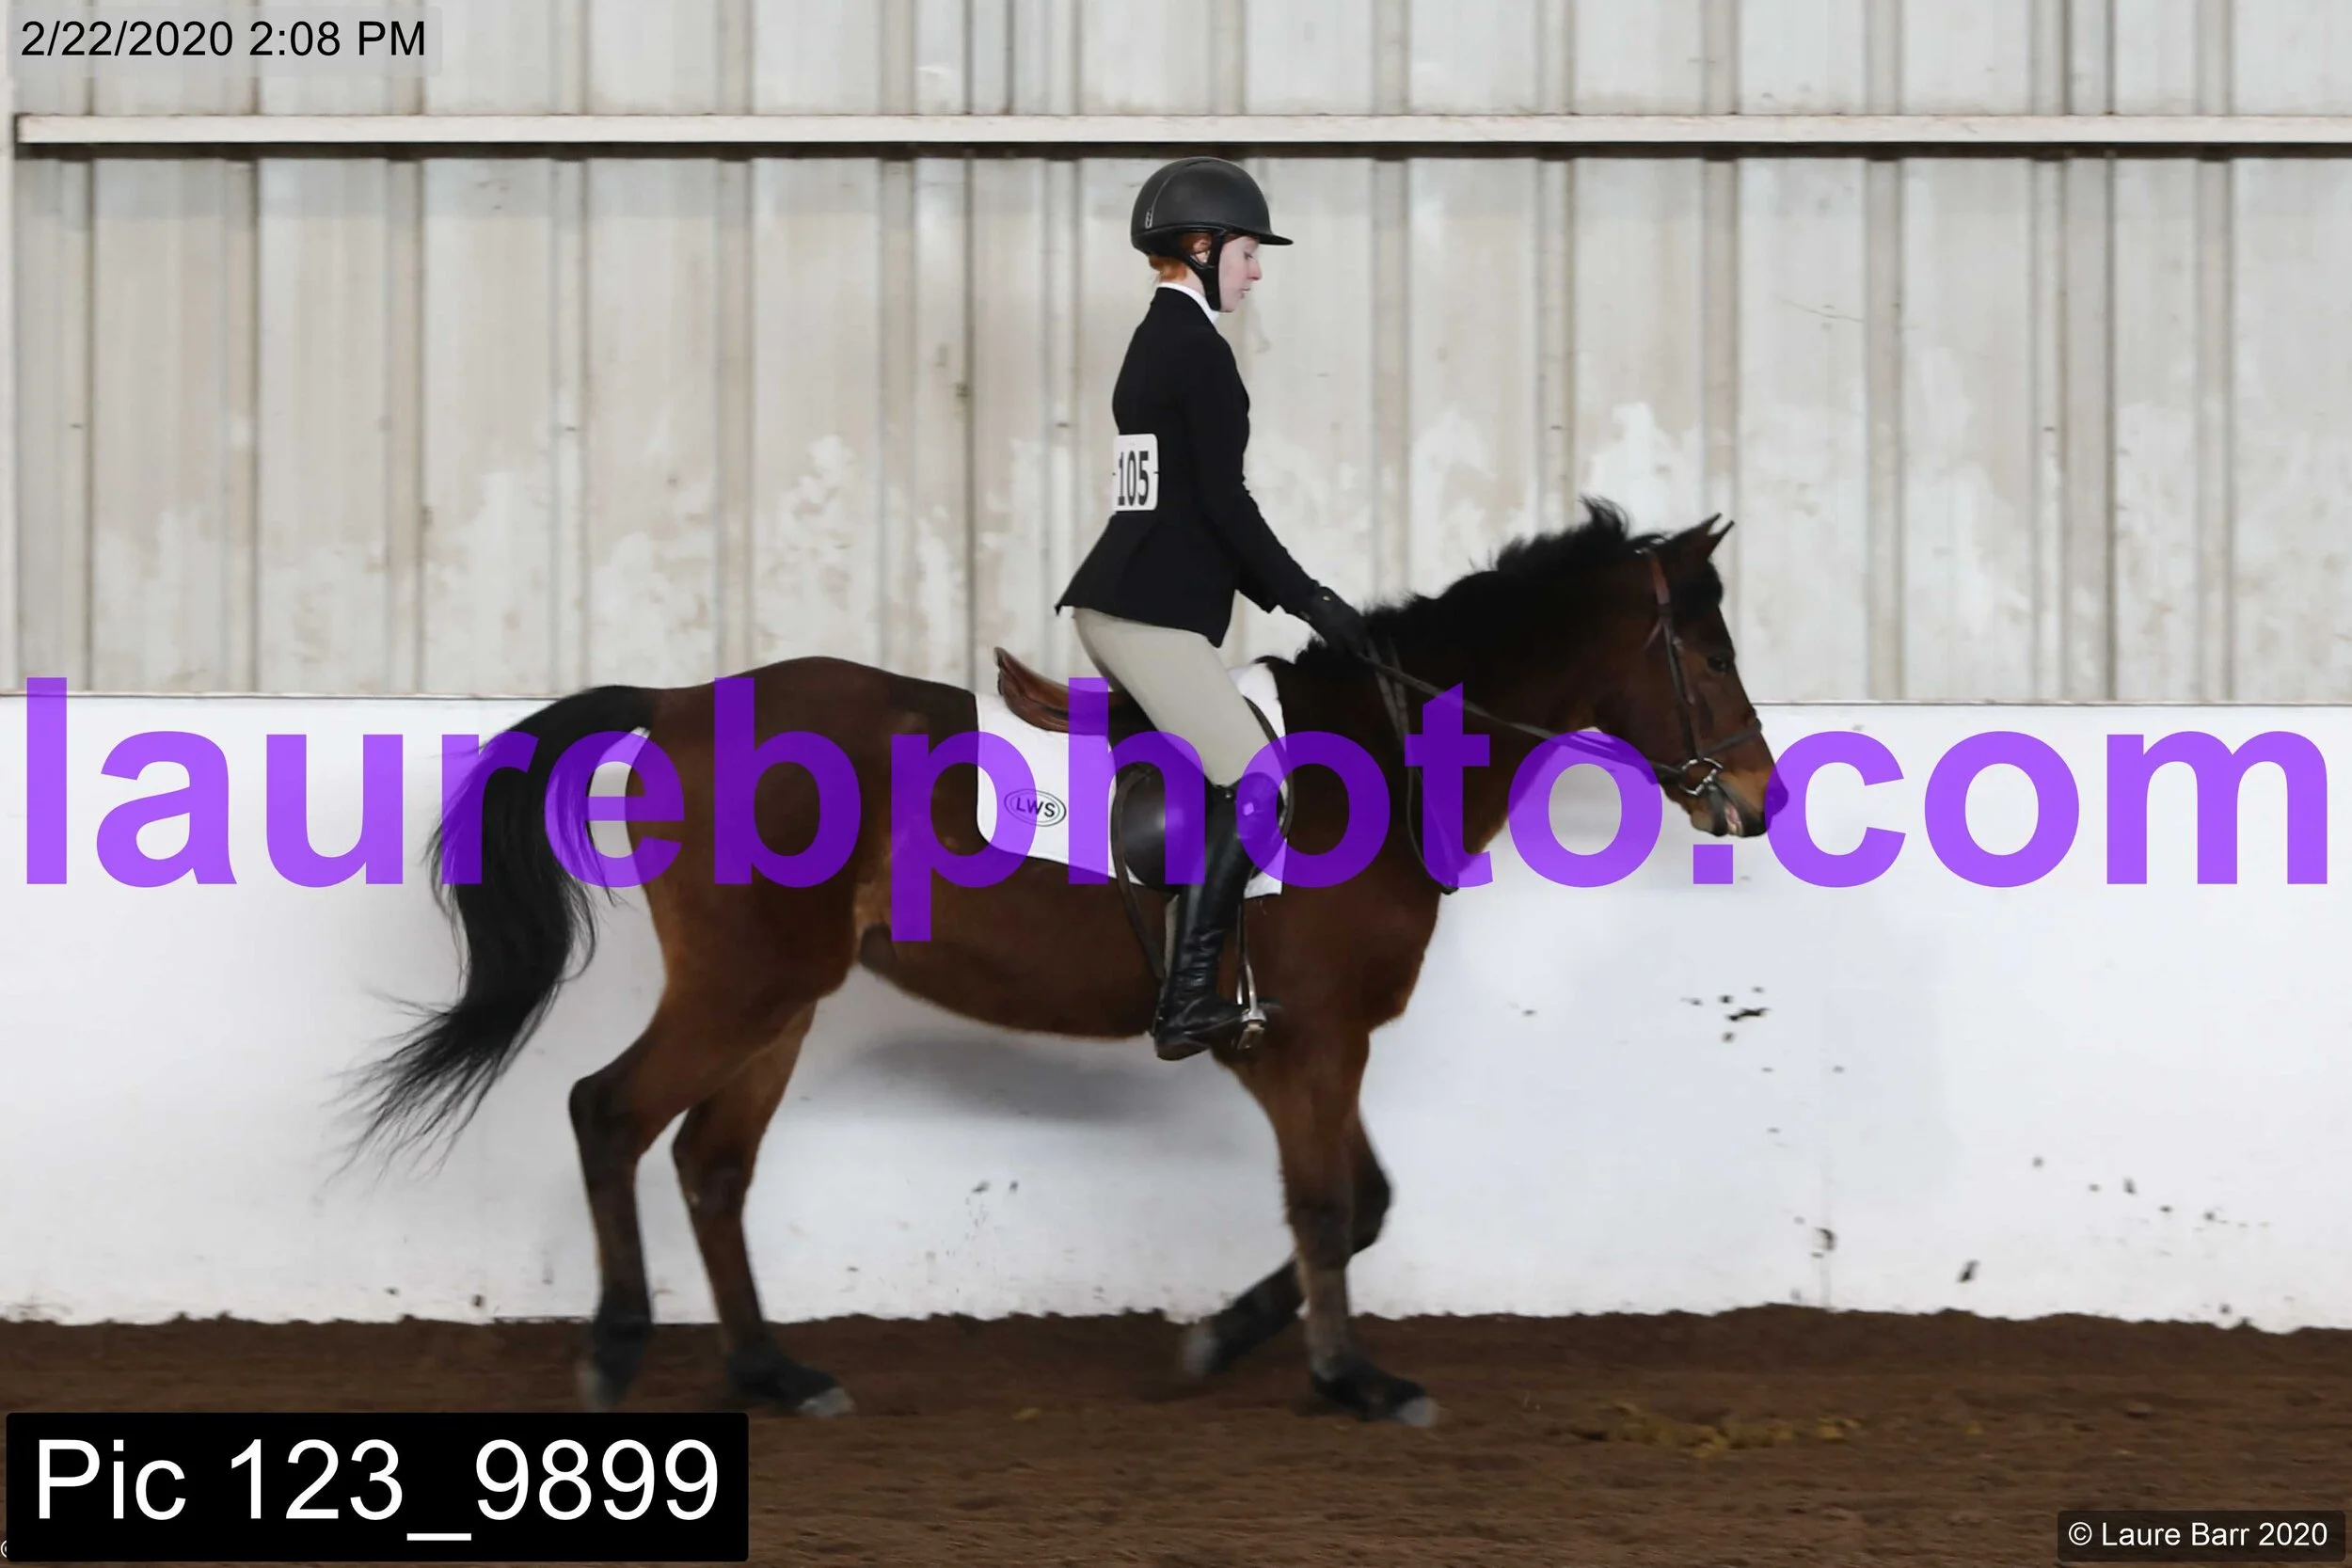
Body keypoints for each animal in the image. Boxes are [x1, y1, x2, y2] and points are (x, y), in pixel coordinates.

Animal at [353, 498, 1777, 1427]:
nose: (1754, 804)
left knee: (711, 1161)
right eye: (1708, 655)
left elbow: (1361, 1202)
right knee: (611, 1113)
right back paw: (613, 1355)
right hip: (742, 986)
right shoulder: (1311, 1037)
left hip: (784, 1000)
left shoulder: (1287, 1044)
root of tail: (676, 702)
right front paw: (1351, 1377)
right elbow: (1329, 1205)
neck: (1374, 756)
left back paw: (778, 1374)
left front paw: (1218, 1341)